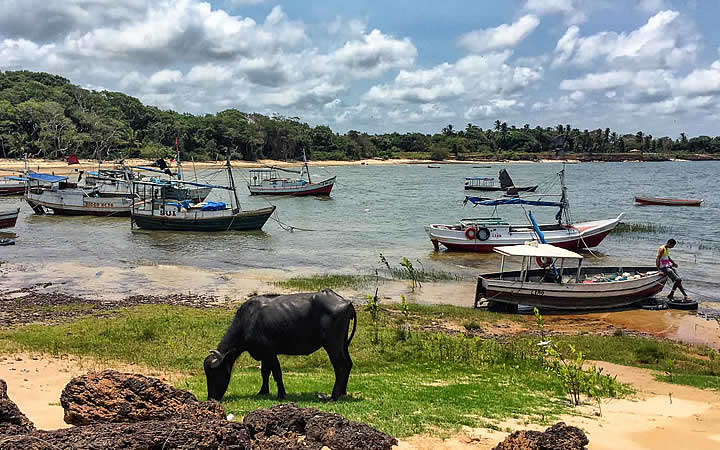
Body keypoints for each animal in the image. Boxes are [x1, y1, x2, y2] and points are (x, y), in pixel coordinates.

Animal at [204, 290, 356, 402]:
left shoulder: (270, 352)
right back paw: (342, 392)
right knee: (348, 364)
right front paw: (263, 391)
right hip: (343, 344)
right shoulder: (264, 354)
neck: (249, 320)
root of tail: (346, 302)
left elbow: (277, 373)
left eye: (214, 374)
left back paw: (333, 396)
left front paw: (281, 395)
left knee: (341, 366)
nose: (211, 398)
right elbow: (264, 372)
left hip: (333, 345)